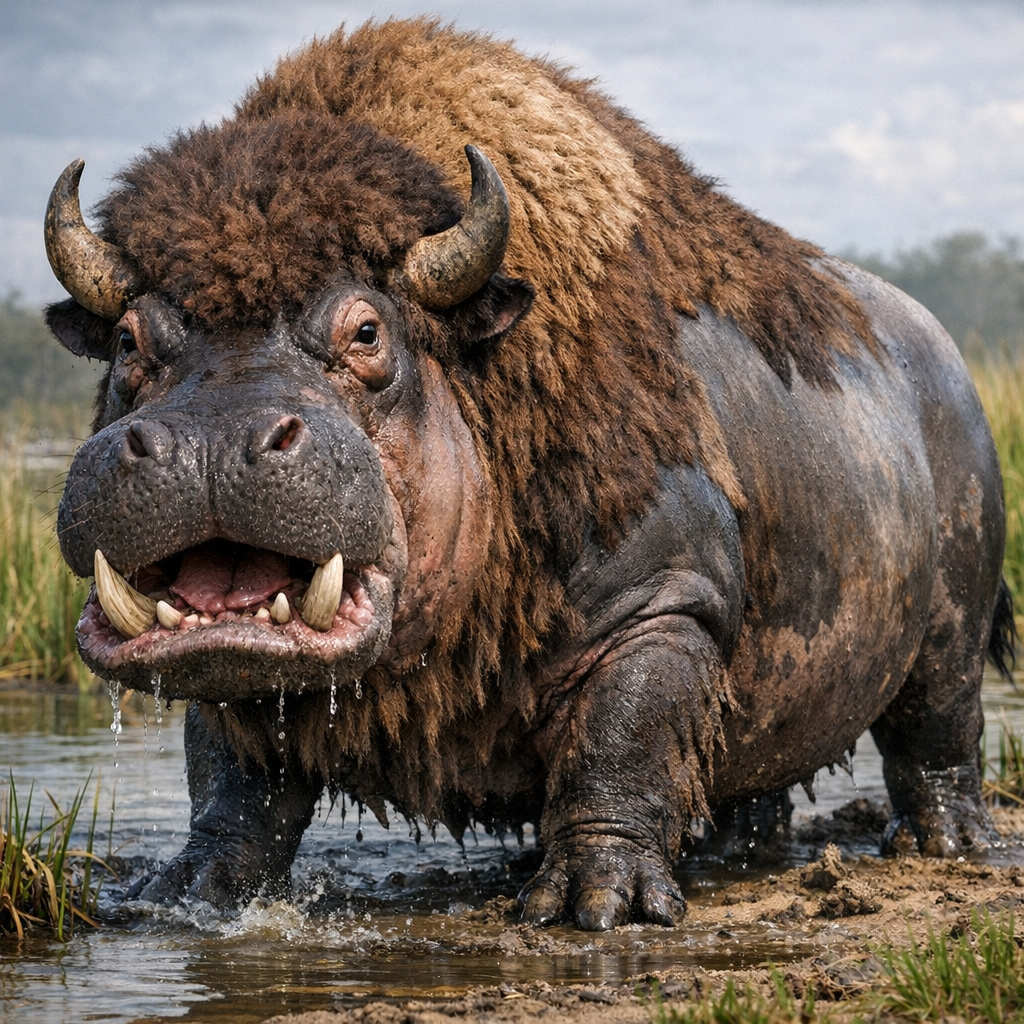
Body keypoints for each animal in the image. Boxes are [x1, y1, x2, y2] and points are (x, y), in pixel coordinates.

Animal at [44, 18, 1015, 930]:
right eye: (128, 340)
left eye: (367, 332)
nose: (209, 442)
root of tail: (939, 356)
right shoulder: (233, 679)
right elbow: (232, 784)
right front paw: (187, 893)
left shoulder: (663, 609)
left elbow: (617, 747)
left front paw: (599, 901)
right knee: (752, 782)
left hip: (951, 629)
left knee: (937, 734)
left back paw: (943, 845)